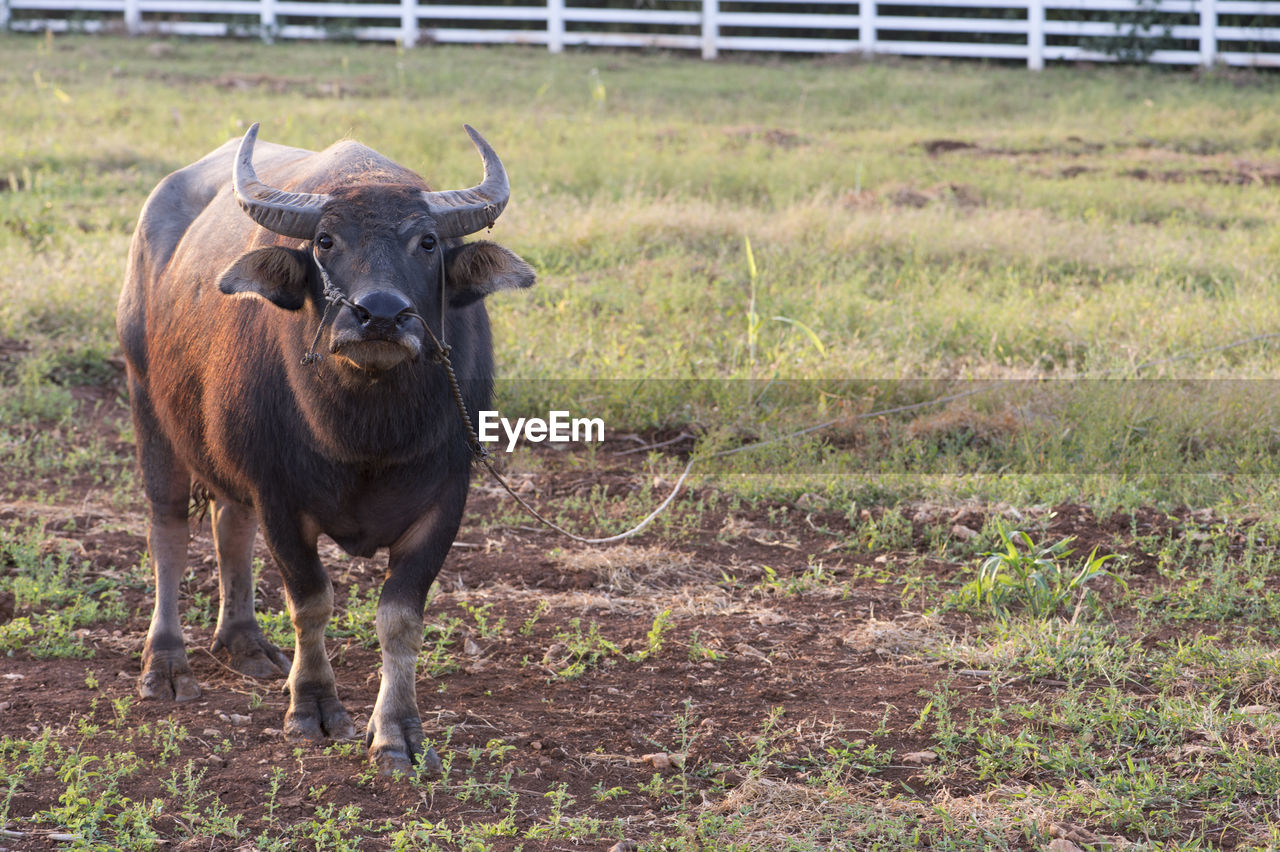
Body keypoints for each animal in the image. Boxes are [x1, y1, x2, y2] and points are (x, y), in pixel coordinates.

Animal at [120, 122, 535, 772]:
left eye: (427, 242)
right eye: (324, 240)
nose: (380, 315)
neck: (366, 432)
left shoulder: (446, 500)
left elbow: (400, 618)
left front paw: (397, 731)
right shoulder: (280, 495)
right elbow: (311, 601)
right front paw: (312, 706)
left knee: (229, 523)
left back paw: (244, 643)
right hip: (148, 405)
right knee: (169, 533)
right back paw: (165, 664)